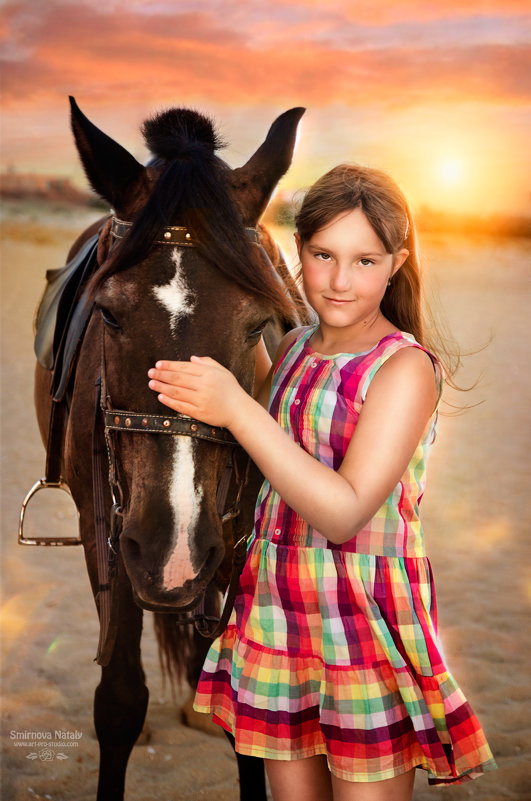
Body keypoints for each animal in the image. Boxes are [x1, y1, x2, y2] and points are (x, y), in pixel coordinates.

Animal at [32, 97, 308, 796]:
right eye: (108, 313)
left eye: (257, 324)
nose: (171, 549)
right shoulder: (109, 533)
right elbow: (119, 701)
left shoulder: (231, 540)